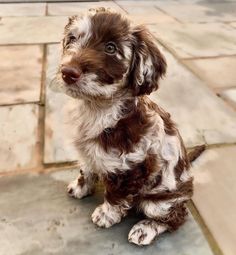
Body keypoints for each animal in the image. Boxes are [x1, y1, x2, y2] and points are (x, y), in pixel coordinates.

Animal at [51, 8, 199, 246]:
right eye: (72, 39)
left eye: (111, 48)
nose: (68, 72)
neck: (98, 110)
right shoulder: (88, 152)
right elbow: (87, 169)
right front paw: (81, 187)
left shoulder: (129, 167)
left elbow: (116, 195)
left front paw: (105, 215)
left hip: (159, 202)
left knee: (176, 217)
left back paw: (144, 229)